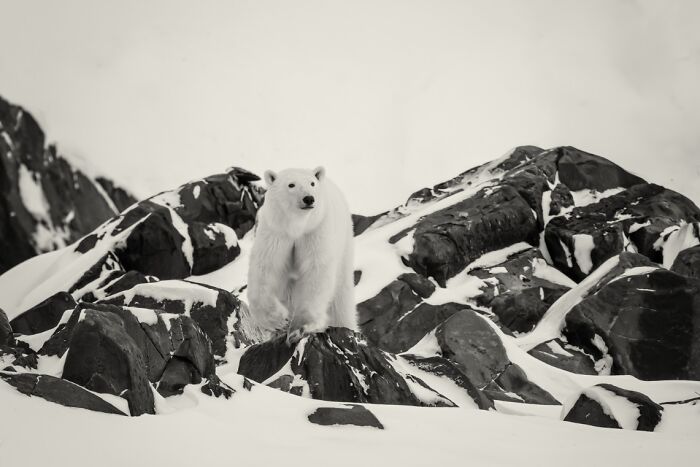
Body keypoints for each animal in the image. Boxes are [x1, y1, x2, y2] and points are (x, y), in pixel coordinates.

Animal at [247, 166, 357, 344]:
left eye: (312, 183)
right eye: (291, 185)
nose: (309, 199)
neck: (297, 227)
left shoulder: (315, 230)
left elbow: (316, 270)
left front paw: (299, 327)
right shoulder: (275, 232)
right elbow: (265, 269)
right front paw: (280, 321)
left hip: (344, 244)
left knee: (341, 297)